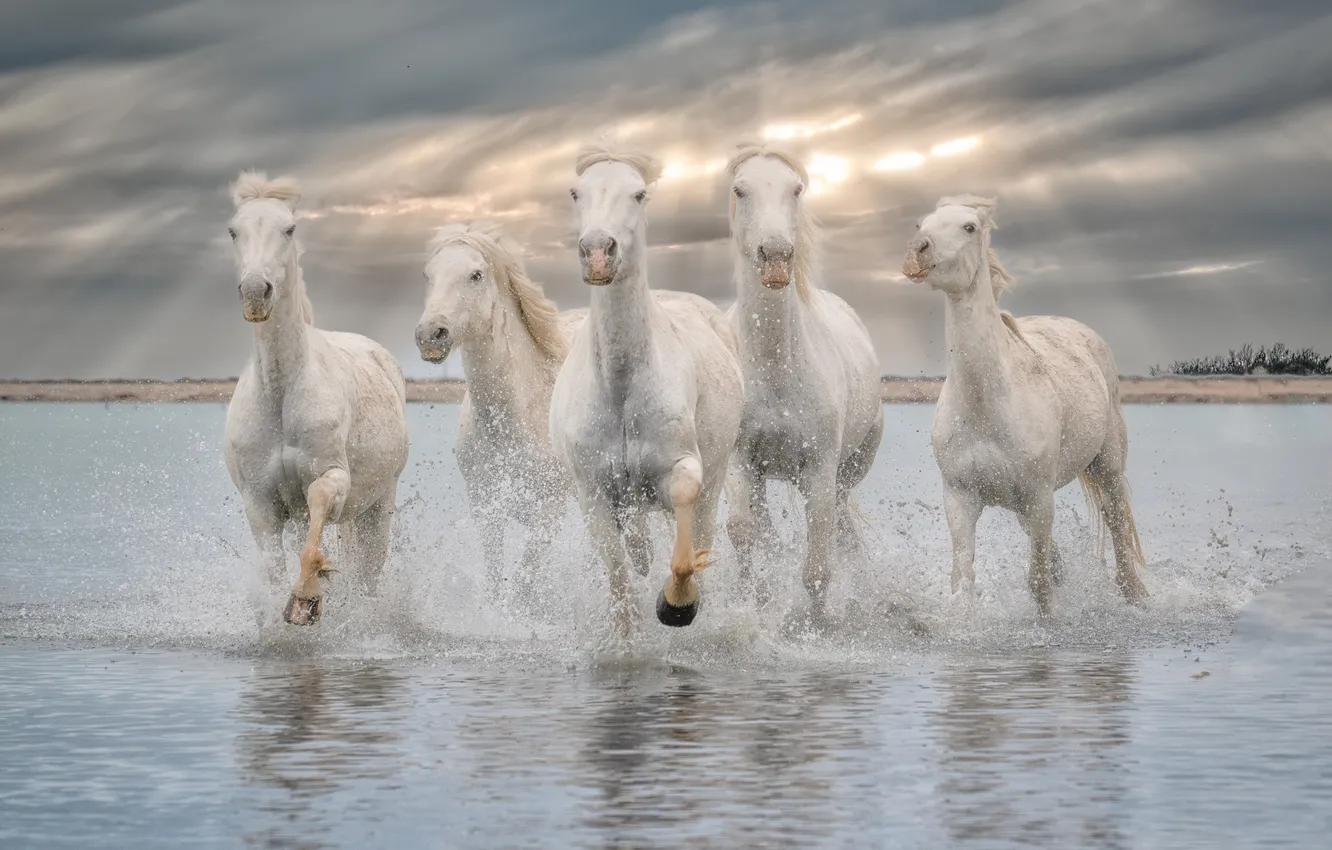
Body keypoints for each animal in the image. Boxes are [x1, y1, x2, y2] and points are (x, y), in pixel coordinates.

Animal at [222, 171, 410, 625]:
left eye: (289, 228)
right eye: (234, 230)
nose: (256, 293)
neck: (282, 393)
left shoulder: (330, 478)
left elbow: (314, 544)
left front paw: (306, 600)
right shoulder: (260, 501)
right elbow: (273, 570)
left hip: (379, 507)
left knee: (369, 573)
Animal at [414, 220, 586, 601]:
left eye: (476, 275)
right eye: (427, 274)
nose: (431, 335)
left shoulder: (550, 513)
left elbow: (523, 584)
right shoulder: (486, 509)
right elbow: (496, 581)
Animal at [549, 143, 744, 639]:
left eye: (638, 194)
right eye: (576, 192)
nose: (598, 253)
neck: (622, 389)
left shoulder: (683, 464)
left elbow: (685, 505)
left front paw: (678, 603)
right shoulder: (594, 492)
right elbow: (617, 572)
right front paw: (627, 631)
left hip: (717, 471)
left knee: (702, 522)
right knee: (635, 542)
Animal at [721, 143, 884, 621]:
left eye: (796, 189)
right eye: (740, 189)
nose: (775, 256)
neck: (778, 367)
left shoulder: (820, 467)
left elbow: (817, 566)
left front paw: (815, 623)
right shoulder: (741, 461)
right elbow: (744, 531)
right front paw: (754, 601)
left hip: (847, 470)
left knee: (842, 527)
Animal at [902, 195, 1150, 614]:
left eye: (969, 227)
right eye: (922, 224)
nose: (918, 252)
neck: (987, 403)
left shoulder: (1039, 496)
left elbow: (1038, 583)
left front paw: (1047, 622)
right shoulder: (960, 497)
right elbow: (963, 580)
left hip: (1107, 465)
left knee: (1116, 520)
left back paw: (1134, 594)